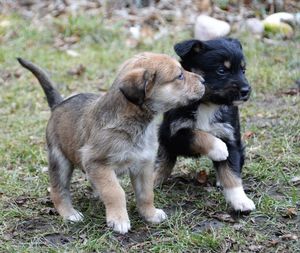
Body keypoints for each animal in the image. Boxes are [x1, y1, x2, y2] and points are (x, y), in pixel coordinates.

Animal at [17, 52, 205, 234]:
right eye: (179, 76)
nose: (204, 80)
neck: (136, 124)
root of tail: (58, 104)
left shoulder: (143, 164)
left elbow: (146, 193)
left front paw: (150, 214)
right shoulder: (98, 163)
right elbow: (115, 192)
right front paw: (119, 220)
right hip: (59, 160)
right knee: (58, 191)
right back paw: (70, 214)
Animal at [155, 37, 255, 211]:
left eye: (243, 70)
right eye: (221, 70)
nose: (246, 91)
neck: (207, 104)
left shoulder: (230, 137)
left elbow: (232, 172)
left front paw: (240, 200)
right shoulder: (174, 133)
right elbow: (197, 134)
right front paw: (218, 148)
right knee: (162, 162)